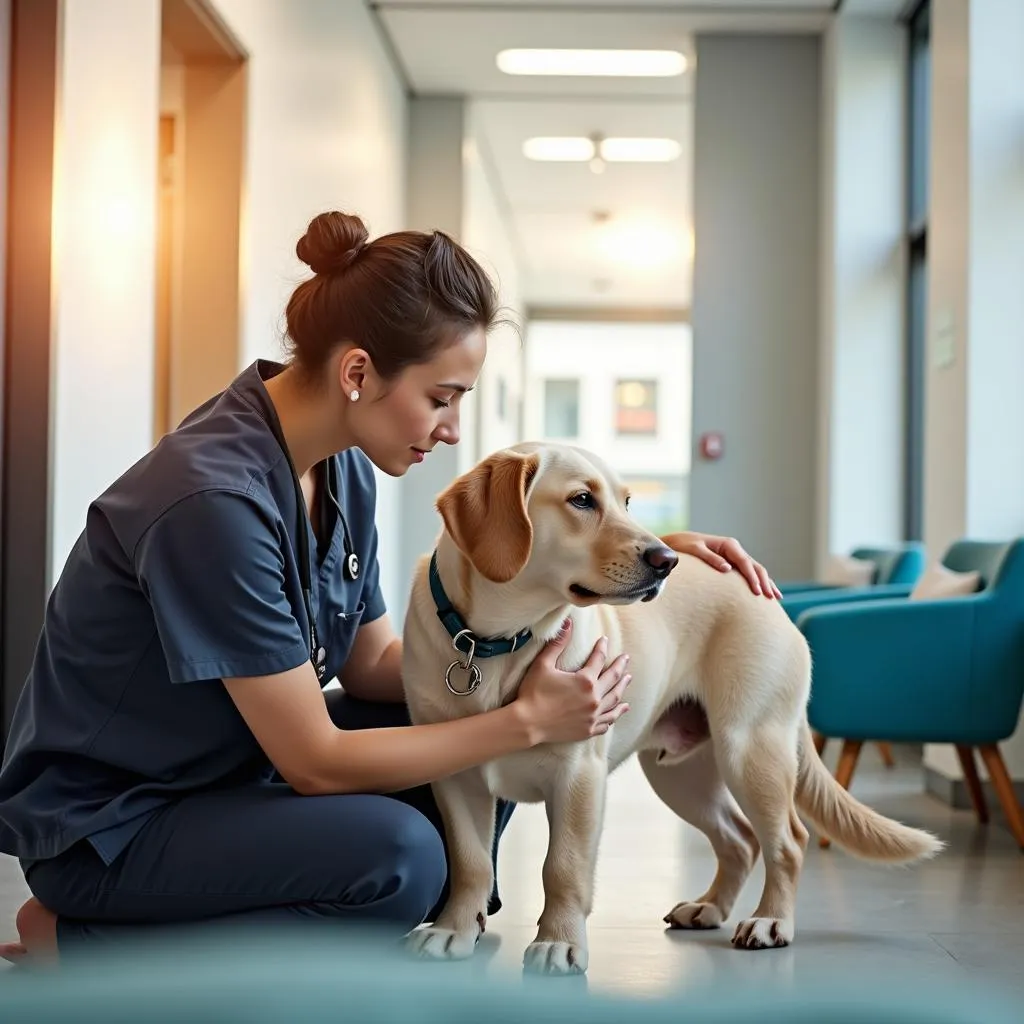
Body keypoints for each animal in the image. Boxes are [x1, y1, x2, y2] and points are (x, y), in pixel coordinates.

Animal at [401, 444, 942, 970]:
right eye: (582, 500)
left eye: (626, 502)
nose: (666, 559)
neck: (496, 642)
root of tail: (764, 593)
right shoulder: (456, 778)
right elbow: (470, 863)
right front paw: (454, 930)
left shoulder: (578, 774)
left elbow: (563, 867)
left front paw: (558, 942)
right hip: (679, 774)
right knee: (740, 839)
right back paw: (709, 908)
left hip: (749, 748)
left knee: (788, 840)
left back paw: (771, 921)